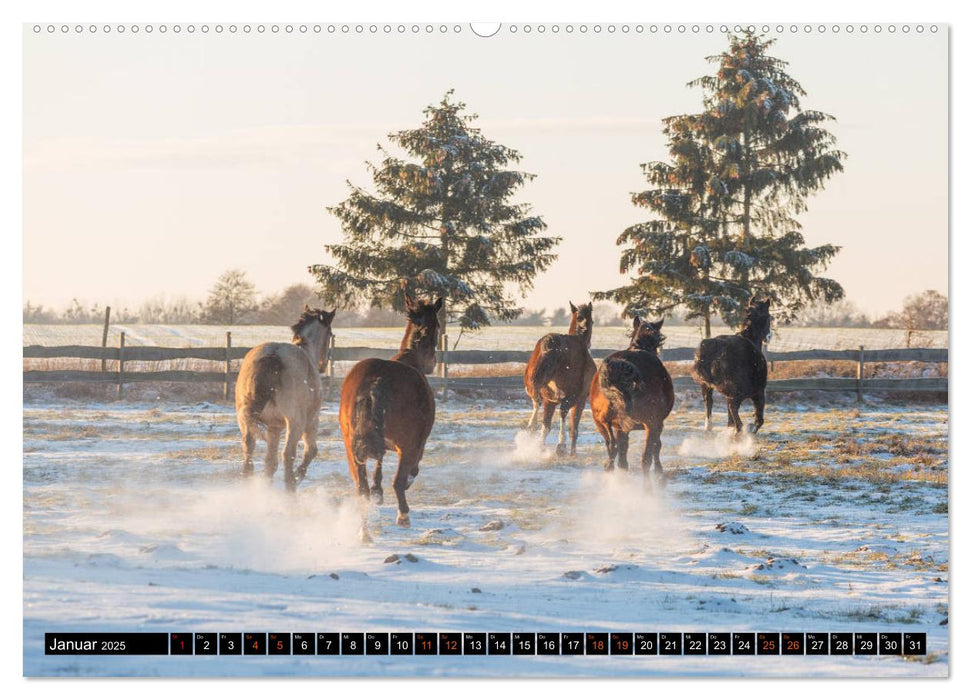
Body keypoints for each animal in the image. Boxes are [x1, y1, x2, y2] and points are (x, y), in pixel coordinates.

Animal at [237, 306, 336, 492]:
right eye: (330, 333)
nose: (323, 365)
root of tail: (273, 354)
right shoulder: (312, 422)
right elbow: (311, 451)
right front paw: (299, 474)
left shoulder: (274, 428)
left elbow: (270, 463)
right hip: (295, 423)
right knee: (288, 454)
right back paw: (291, 487)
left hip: (245, 418)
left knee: (249, 447)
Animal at [336, 296, 438, 540]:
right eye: (438, 326)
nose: (432, 364)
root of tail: (376, 380)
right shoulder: (415, 445)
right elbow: (410, 471)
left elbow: (378, 467)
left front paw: (377, 491)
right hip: (407, 445)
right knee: (398, 482)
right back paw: (403, 515)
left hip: (351, 449)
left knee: (361, 489)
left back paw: (364, 533)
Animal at [524, 300, 600, 454]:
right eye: (593, 321)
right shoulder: (580, 400)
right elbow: (573, 429)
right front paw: (572, 451)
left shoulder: (550, 400)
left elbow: (546, 425)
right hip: (571, 397)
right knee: (562, 413)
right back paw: (561, 445)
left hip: (538, 388)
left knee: (537, 404)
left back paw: (532, 430)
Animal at [592, 316, 676, 476]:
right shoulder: (657, 424)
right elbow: (657, 447)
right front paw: (659, 471)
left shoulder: (620, 428)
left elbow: (622, 456)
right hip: (650, 424)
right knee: (645, 459)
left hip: (601, 422)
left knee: (613, 449)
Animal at [692, 296, 776, 438]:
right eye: (768, 316)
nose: (769, 336)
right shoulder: (758, 392)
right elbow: (759, 420)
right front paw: (748, 431)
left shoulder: (727, 393)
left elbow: (729, 416)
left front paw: (729, 428)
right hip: (738, 392)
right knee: (734, 407)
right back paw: (739, 431)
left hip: (706, 385)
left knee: (709, 403)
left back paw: (709, 429)